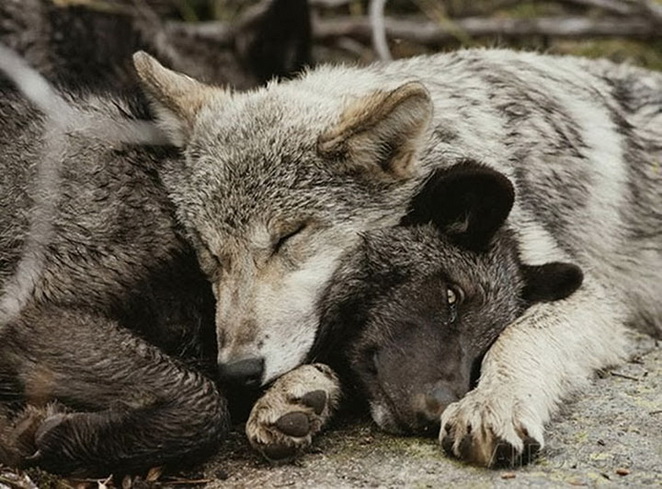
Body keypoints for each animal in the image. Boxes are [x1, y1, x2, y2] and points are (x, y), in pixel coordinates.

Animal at [131, 48, 662, 466]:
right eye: (209, 252)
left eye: (288, 237)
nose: (237, 372)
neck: (456, 141)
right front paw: (294, 393)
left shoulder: (594, 299)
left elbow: (518, 337)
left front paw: (493, 403)